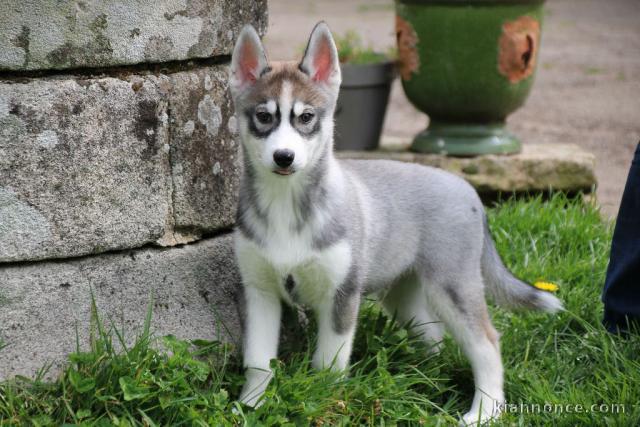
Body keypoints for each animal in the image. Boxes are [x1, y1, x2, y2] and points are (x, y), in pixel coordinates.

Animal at [229, 21, 560, 422]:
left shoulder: (342, 295)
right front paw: (251, 406)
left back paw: (485, 411)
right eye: (264, 117)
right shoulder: (259, 291)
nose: (284, 157)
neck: (287, 205)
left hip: (453, 285)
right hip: (403, 295)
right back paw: (425, 375)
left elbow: (329, 363)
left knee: (487, 342)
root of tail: (468, 189)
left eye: (305, 117)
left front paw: (326, 404)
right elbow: (257, 361)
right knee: (434, 335)